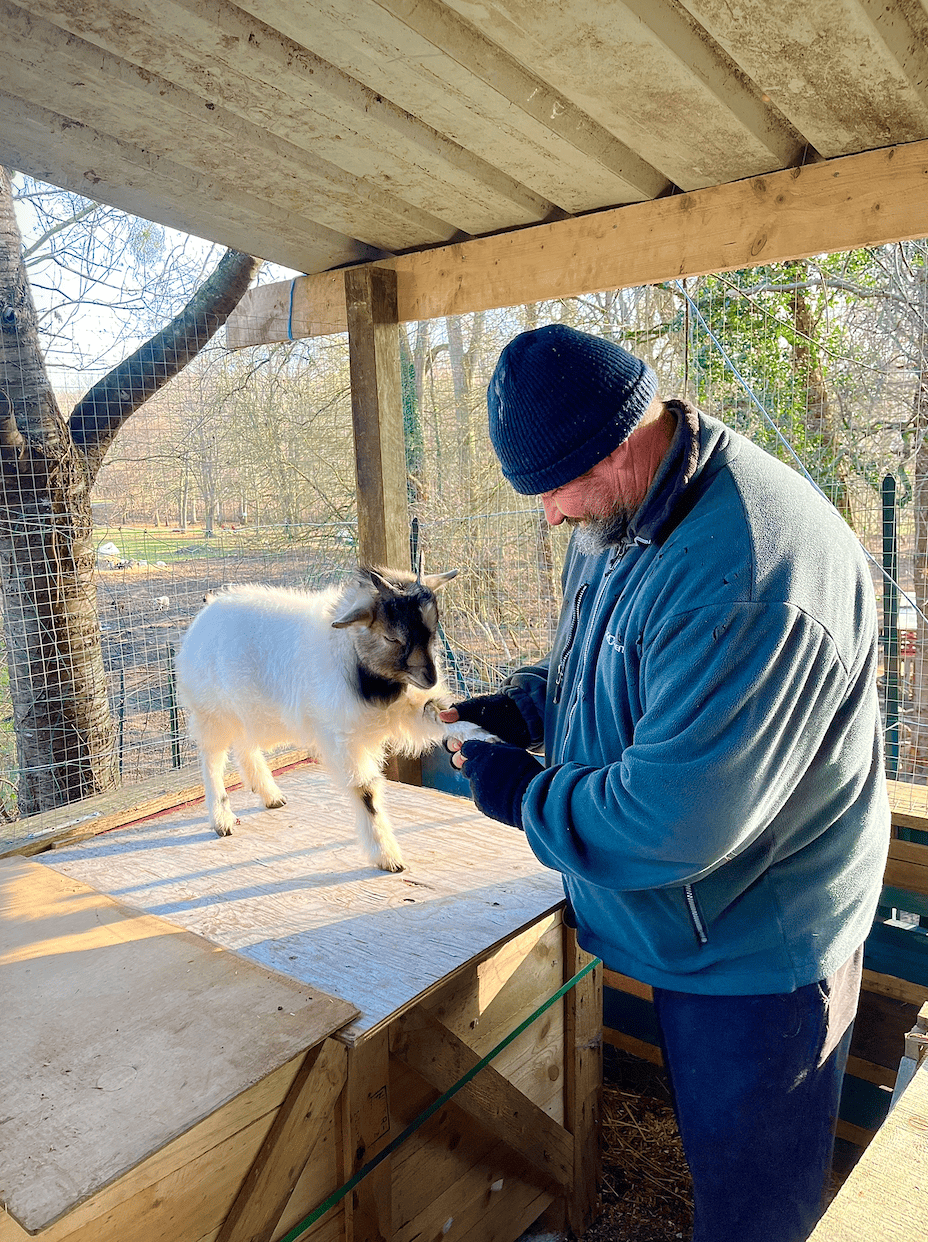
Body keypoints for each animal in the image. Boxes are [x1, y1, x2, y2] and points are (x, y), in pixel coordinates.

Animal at [175, 565, 493, 872]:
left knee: (245, 745)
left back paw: (270, 795)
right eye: (391, 637)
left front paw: (483, 734)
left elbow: (443, 714)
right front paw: (387, 856)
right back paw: (222, 818)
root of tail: (208, 610)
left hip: (246, 710)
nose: (430, 679)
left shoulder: (409, 707)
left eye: (433, 629)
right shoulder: (344, 739)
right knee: (213, 759)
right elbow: (366, 790)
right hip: (212, 713)